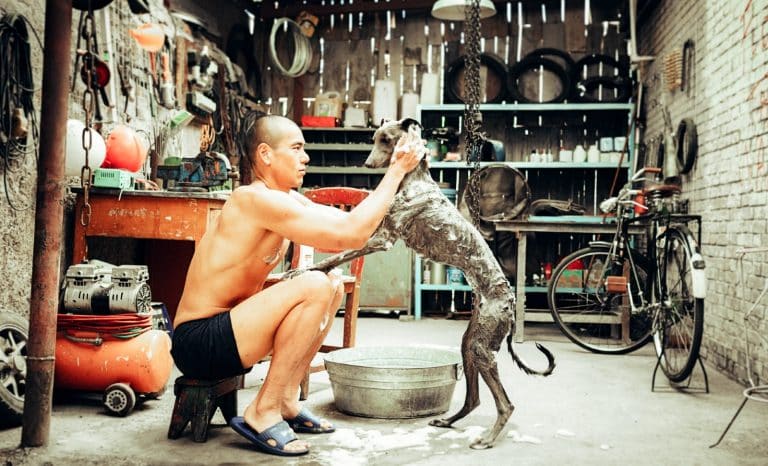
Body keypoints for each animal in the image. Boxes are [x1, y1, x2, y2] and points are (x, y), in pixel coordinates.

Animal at [302, 118, 555, 449]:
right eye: (374, 138)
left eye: (386, 139)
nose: (367, 163)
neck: (414, 180)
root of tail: (510, 302)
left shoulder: (381, 239)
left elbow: (339, 255)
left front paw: (306, 270)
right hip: (470, 345)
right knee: (473, 399)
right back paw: (448, 421)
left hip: (482, 348)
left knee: (506, 404)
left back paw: (487, 438)